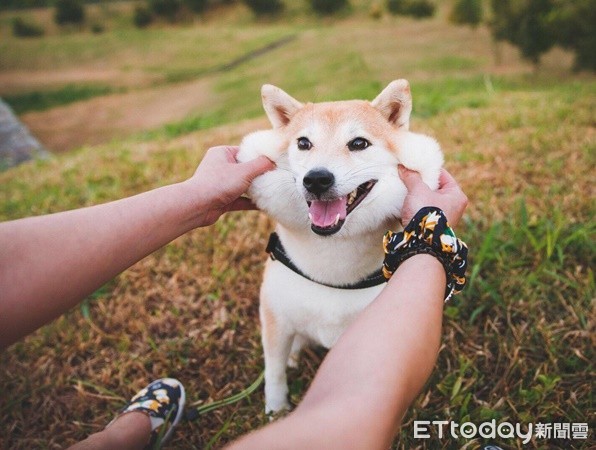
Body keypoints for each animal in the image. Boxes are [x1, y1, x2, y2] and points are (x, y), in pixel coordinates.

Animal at [235, 79, 444, 414]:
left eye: (358, 143)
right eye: (303, 143)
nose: (316, 179)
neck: (332, 267)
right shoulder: (275, 318)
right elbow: (274, 371)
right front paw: (276, 408)